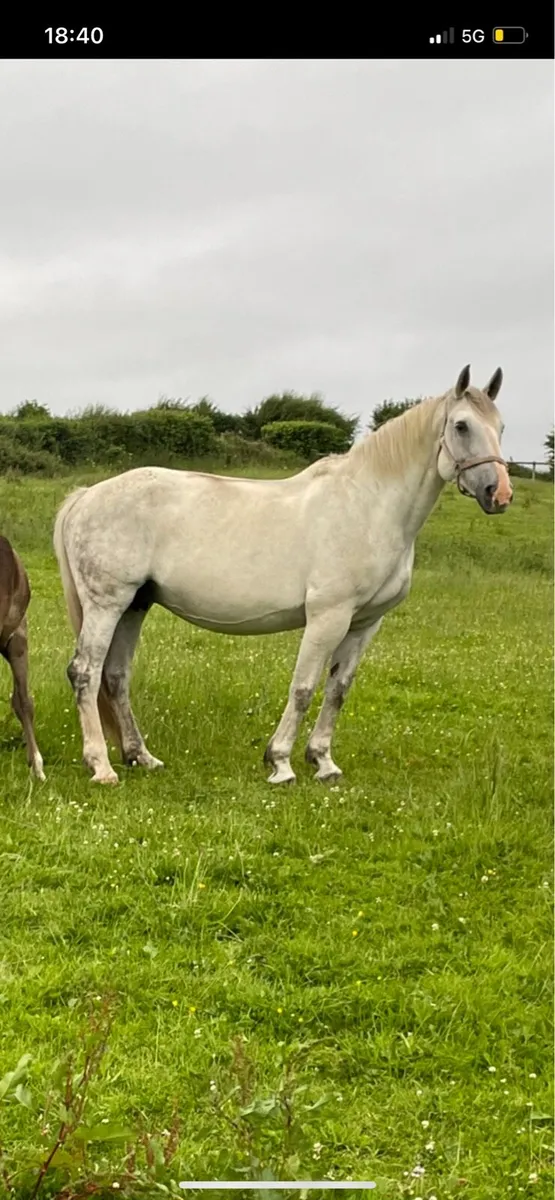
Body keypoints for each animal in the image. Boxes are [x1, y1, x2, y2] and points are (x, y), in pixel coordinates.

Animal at [53, 363, 512, 787]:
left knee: (116, 676)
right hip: (107, 604)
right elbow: (303, 688)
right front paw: (281, 764)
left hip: (135, 604)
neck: (368, 505)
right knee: (85, 673)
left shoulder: (365, 623)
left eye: (501, 427)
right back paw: (102, 766)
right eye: (461, 426)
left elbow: (338, 690)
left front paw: (324, 763)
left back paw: (141, 756)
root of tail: (86, 496)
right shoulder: (328, 617)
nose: (500, 494)